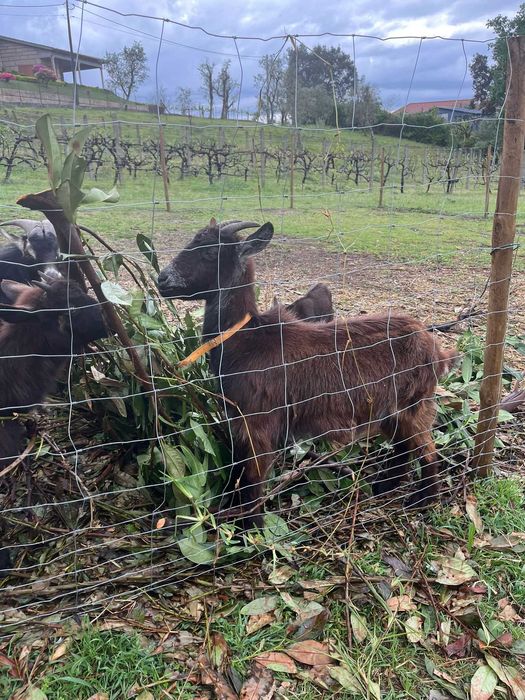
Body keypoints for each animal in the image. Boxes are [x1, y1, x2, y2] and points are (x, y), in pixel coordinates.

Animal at [157, 220, 457, 528]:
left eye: (210, 253)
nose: (162, 280)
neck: (247, 339)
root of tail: (436, 350)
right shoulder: (238, 422)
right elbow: (238, 470)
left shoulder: (258, 422)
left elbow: (253, 477)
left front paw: (252, 528)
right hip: (389, 409)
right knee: (403, 448)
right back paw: (385, 487)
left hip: (414, 404)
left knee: (427, 450)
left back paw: (423, 500)